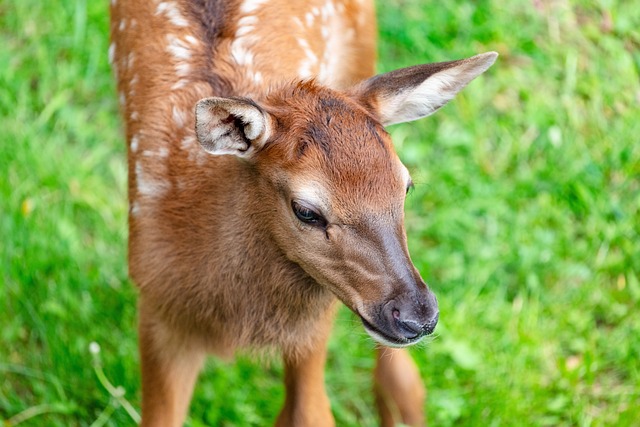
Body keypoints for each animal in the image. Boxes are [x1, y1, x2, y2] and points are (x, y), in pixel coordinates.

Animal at [110, 0, 496, 426]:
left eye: (406, 186)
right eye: (306, 211)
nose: (417, 316)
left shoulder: (313, 324)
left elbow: (309, 412)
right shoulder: (157, 308)